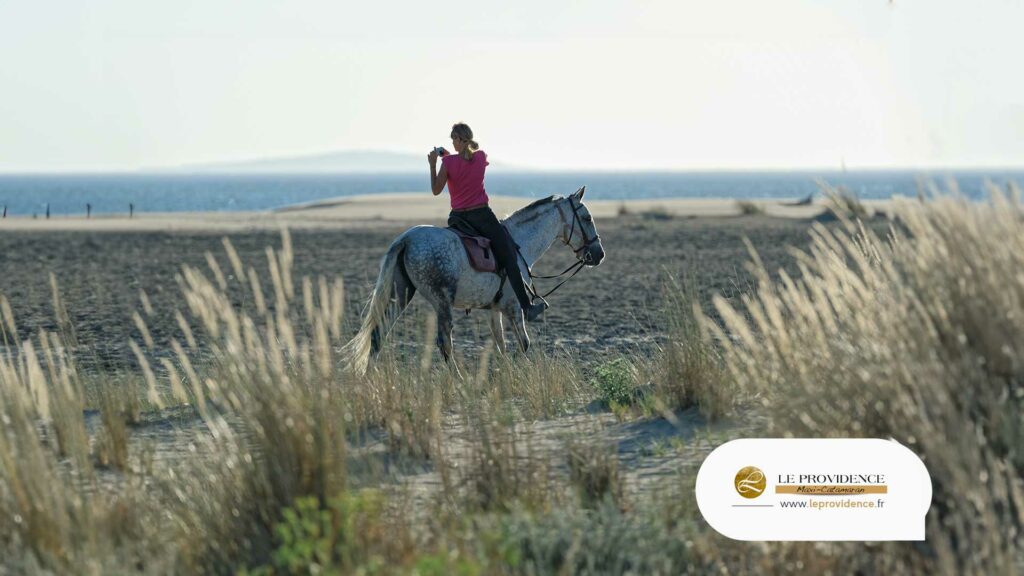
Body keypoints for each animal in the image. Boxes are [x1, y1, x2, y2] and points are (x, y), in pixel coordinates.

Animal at [346, 184, 598, 373]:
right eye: (587, 218)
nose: (599, 254)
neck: (519, 242)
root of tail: (406, 239)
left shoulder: (494, 309)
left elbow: (501, 343)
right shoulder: (513, 306)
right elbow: (523, 343)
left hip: (400, 294)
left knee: (379, 334)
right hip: (441, 301)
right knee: (444, 342)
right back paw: (457, 378)